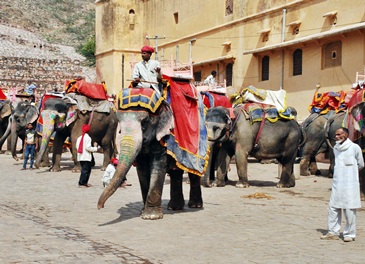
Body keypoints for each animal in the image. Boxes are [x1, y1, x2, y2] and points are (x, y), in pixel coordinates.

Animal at [98, 79, 208, 220]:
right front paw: (143, 212)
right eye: (118, 120)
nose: (100, 207)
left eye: (145, 122)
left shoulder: (163, 136)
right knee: (175, 172)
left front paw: (151, 216)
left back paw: (195, 205)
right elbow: (142, 169)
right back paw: (174, 207)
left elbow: (157, 165)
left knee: (193, 172)